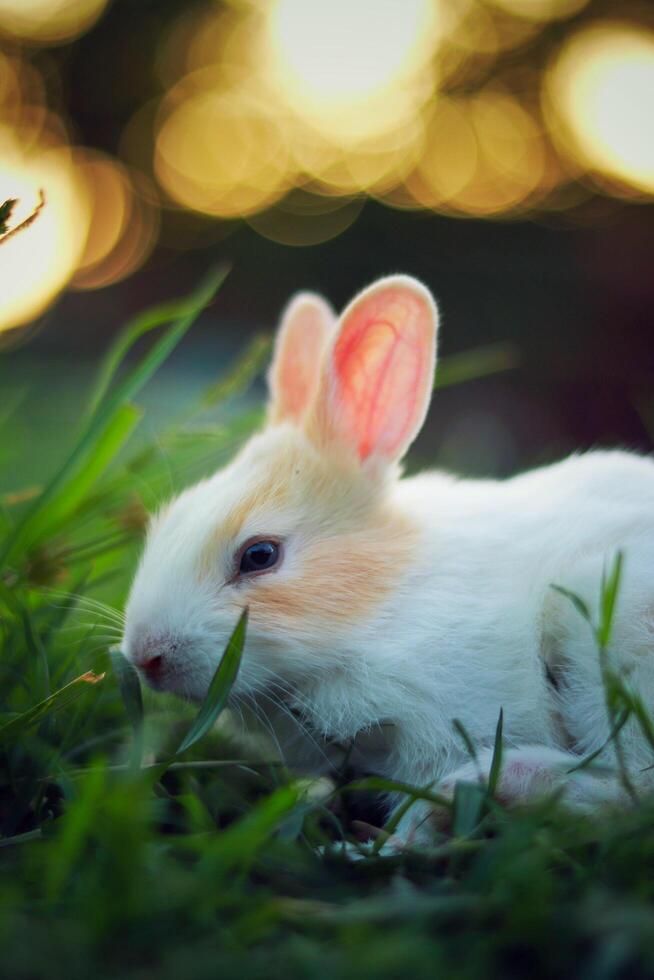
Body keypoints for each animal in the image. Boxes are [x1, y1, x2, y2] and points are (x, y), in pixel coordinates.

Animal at [121, 276, 654, 844]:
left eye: (259, 555)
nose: (147, 656)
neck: (380, 609)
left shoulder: (445, 722)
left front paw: (398, 839)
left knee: (631, 788)